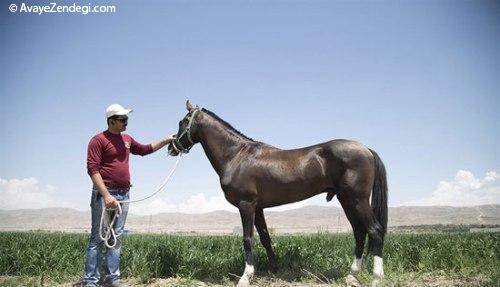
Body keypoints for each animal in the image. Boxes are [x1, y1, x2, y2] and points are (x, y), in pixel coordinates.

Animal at [170, 102, 388, 287]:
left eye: (182, 122)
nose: (171, 147)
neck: (236, 155)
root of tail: (366, 149)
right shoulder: (257, 208)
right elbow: (265, 238)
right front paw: (274, 270)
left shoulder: (246, 205)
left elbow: (248, 239)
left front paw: (245, 277)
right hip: (346, 200)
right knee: (359, 232)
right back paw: (351, 276)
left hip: (357, 199)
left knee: (375, 231)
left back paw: (376, 278)